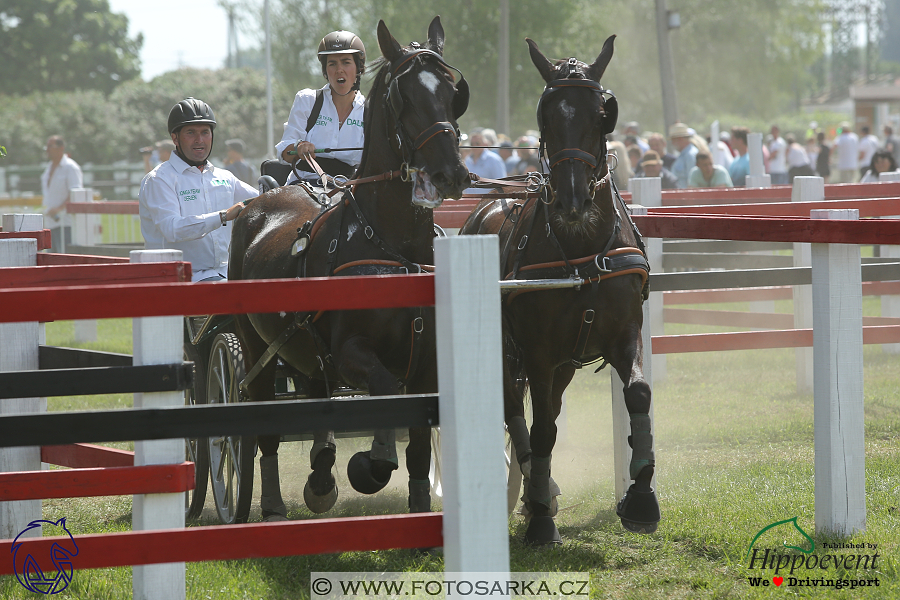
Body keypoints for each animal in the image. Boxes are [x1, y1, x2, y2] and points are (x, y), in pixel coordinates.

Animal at [229, 16, 468, 524]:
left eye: (451, 89)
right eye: (404, 96)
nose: (451, 174)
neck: (392, 245)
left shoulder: (427, 362)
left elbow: (420, 444)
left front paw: (419, 503)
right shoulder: (350, 352)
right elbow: (385, 390)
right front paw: (373, 463)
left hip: (306, 349)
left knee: (317, 397)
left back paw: (320, 478)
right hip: (257, 346)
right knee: (264, 424)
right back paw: (272, 504)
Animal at [460, 36, 656, 544]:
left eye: (601, 113)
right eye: (546, 115)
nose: (572, 201)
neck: (582, 249)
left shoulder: (623, 333)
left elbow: (638, 395)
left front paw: (642, 496)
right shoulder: (538, 351)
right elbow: (543, 428)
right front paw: (541, 519)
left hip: (564, 362)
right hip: (509, 352)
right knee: (516, 411)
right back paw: (534, 491)